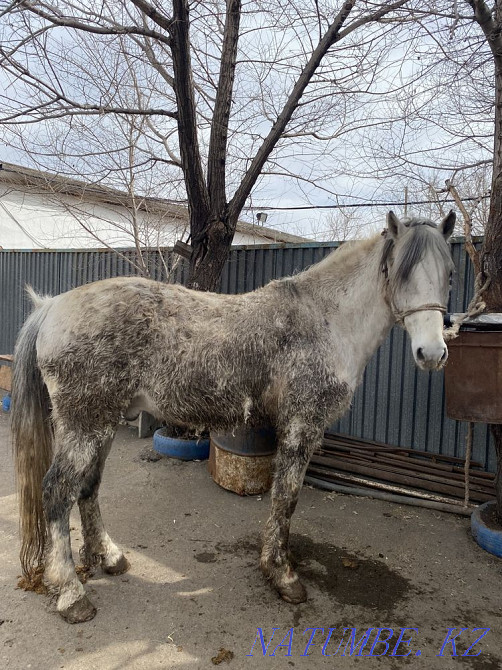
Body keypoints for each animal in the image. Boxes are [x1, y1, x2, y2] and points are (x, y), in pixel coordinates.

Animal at [11, 210, 455, 623]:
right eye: (401, 272)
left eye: (449, 273)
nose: (432, 353)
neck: (325, 320)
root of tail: (52, 307)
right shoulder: (301, 426)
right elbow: (286, 497)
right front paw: (282, 575)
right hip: (84, 425)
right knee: (57, 491)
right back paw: (72, 594)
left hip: (101, 424)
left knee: (88, 487)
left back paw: (108, 557)